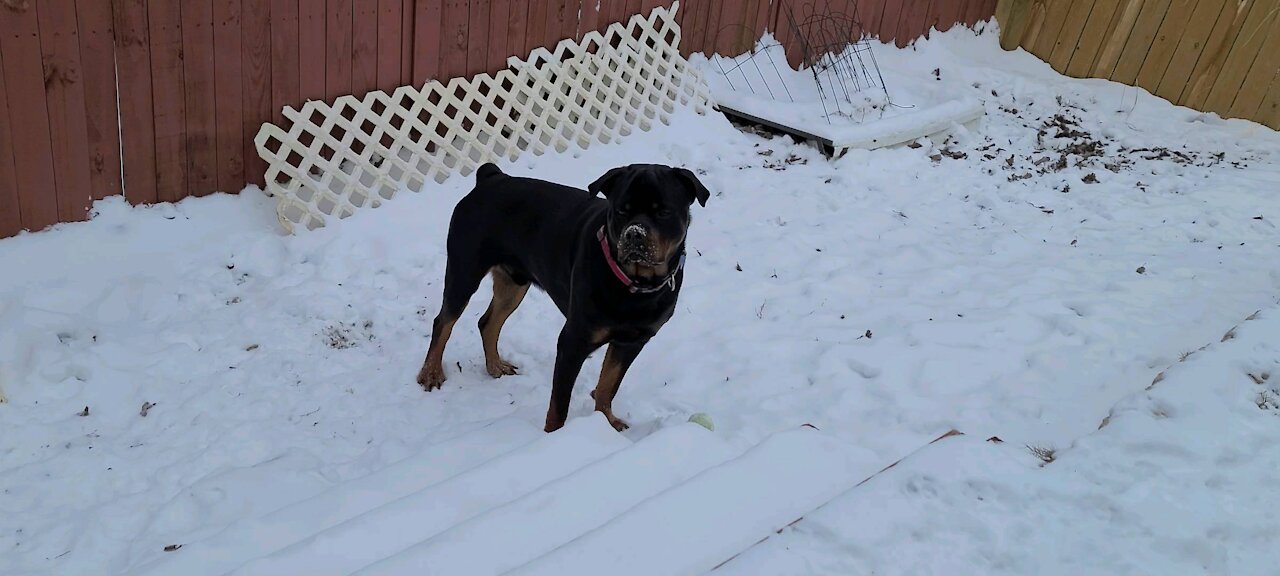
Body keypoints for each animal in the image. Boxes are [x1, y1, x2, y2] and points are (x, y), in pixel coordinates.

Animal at [417, 161, 711, 432]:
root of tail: (492, 177)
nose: (634, 234)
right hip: (465, 268)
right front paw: (555, 439)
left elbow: (608, 385)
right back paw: (430, 373)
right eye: (621, 210)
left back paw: (496, 366)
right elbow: (559, 405)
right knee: (444, 321)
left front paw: (606, 423)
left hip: (515, 282)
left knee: (488, 322)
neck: (634, 285)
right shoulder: (574, 341)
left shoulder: (632, 342)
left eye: (664, 211)